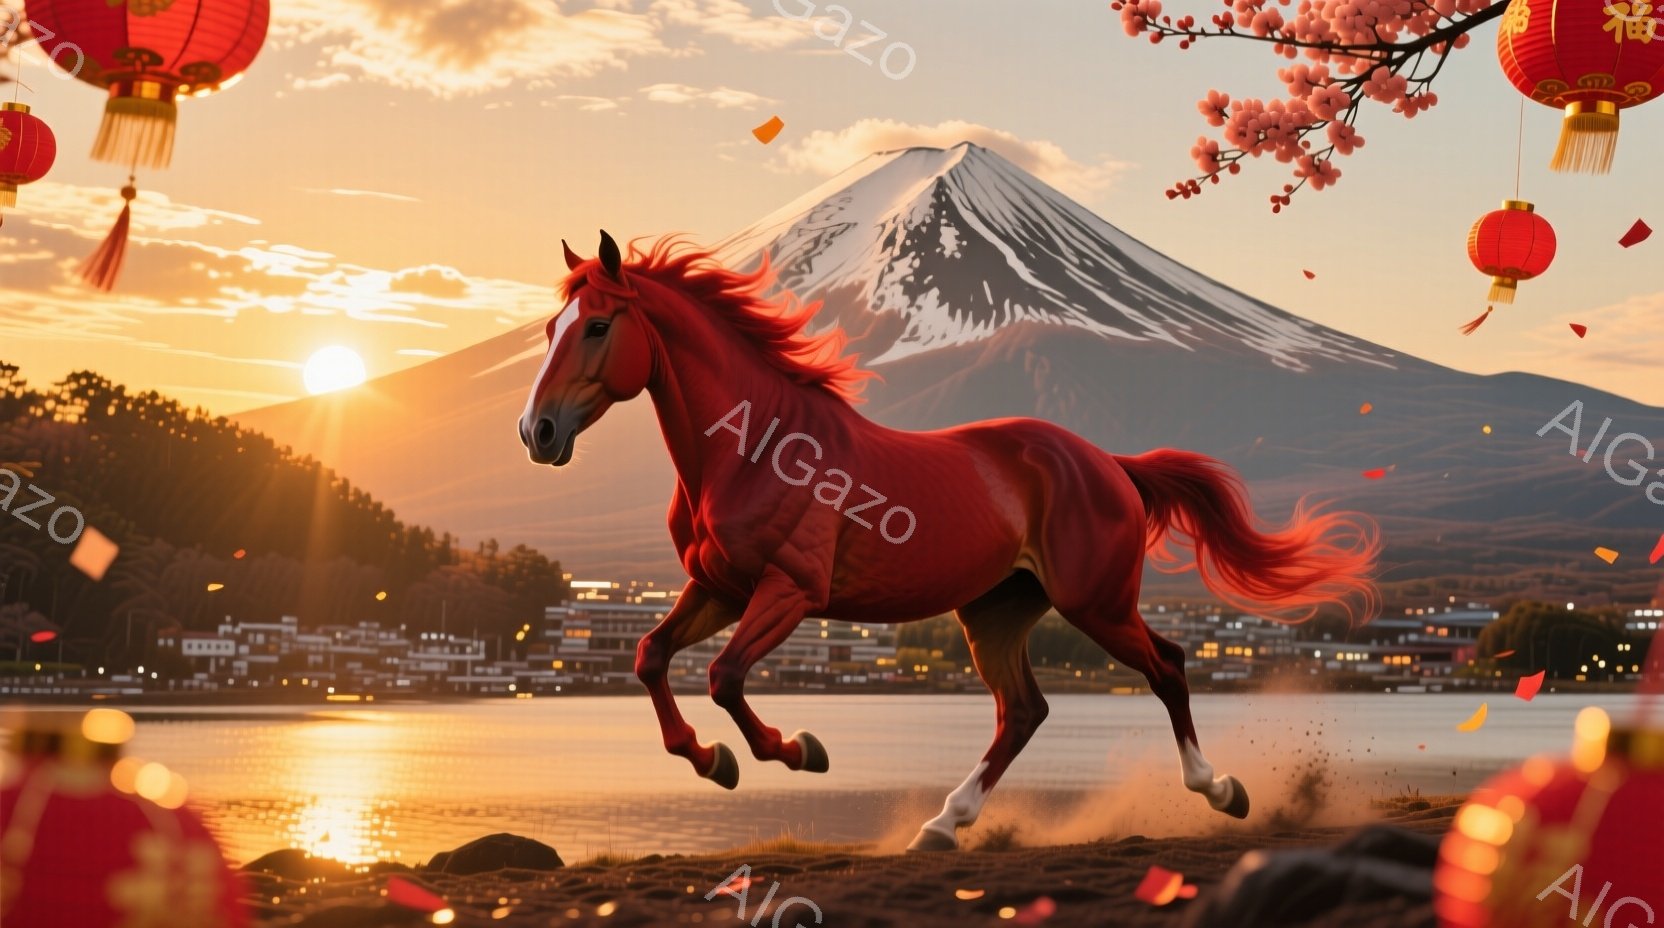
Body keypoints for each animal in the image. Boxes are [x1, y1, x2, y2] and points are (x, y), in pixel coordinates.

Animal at [518, 231, 1382, 852]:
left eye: (597, 326)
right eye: (552, 327)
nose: (538, 431)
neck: (754, 448)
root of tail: (1110, 462)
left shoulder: (790, 590)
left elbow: (725, 677)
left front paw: (798, 749)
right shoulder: (719, 587)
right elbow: (649, 656)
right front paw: (713, 761)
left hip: (1096, 602)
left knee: (1166, 667)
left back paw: (1222, 790)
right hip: (995, 613)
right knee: (1024, 711)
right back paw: (941, 824)